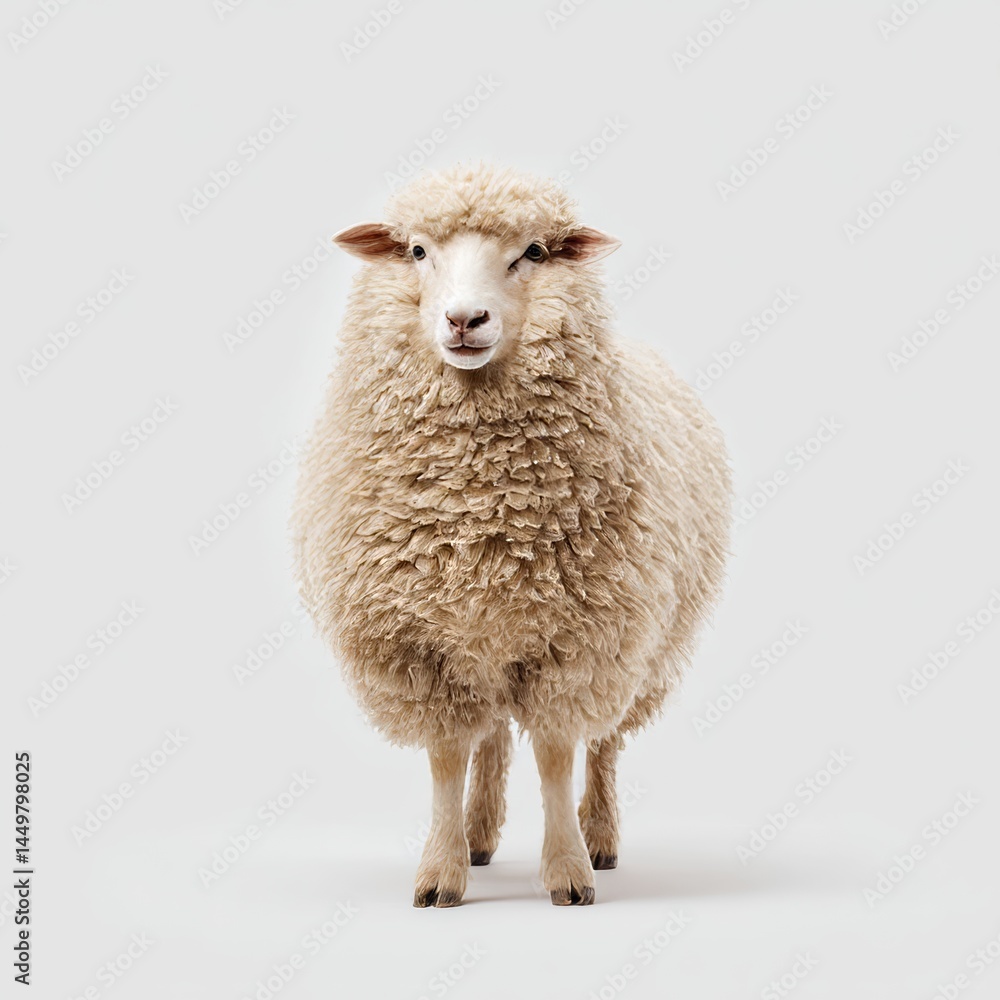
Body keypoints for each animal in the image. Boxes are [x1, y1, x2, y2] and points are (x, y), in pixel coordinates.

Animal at [292, 162, 731, 907]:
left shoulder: (577, 643)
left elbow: (557, 755)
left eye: (533, 251)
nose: (465, 319)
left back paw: (601, 836)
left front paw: (569, 871)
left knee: (605, 742)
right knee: (492, 735)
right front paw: (441, 872)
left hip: (643, 643)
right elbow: (447, 758)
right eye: (416, 251)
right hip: (488, 638)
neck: (482, 513)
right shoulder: (424, 649)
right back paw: (478, 834)